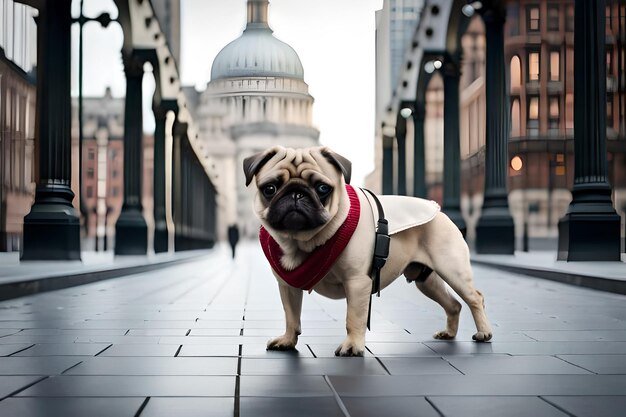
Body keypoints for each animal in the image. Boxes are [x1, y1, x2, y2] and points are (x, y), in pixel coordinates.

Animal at [241, 145, 490, 354]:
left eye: (322, 188)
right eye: (269, 189)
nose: (295, 193)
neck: (302, 242)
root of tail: (438, 210)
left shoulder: (357, 282)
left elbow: (354, 317)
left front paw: (352, 346)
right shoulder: (288, 286)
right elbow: (291, 315)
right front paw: (287, 340)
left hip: (453, 270)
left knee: (474, 298)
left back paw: (484, 333)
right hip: (425, 280)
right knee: (454, 304)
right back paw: (449, 333)